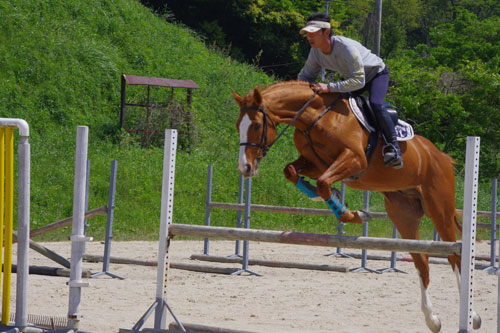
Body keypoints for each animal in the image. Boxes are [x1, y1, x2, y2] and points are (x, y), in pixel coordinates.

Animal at [232, 79, 482, 330]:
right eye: (237, 126)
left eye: (256, 125)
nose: (245, 168)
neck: (316, 117)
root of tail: (440, 156)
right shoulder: (315, 163)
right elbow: (292, 171)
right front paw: (325, 198)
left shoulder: (354, 160)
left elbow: (323, 182)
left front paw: (352, 213)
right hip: (404, 215)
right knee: (422, 261)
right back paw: (432, 318)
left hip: (439, 209)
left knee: (455, 256)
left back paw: (472, 316)